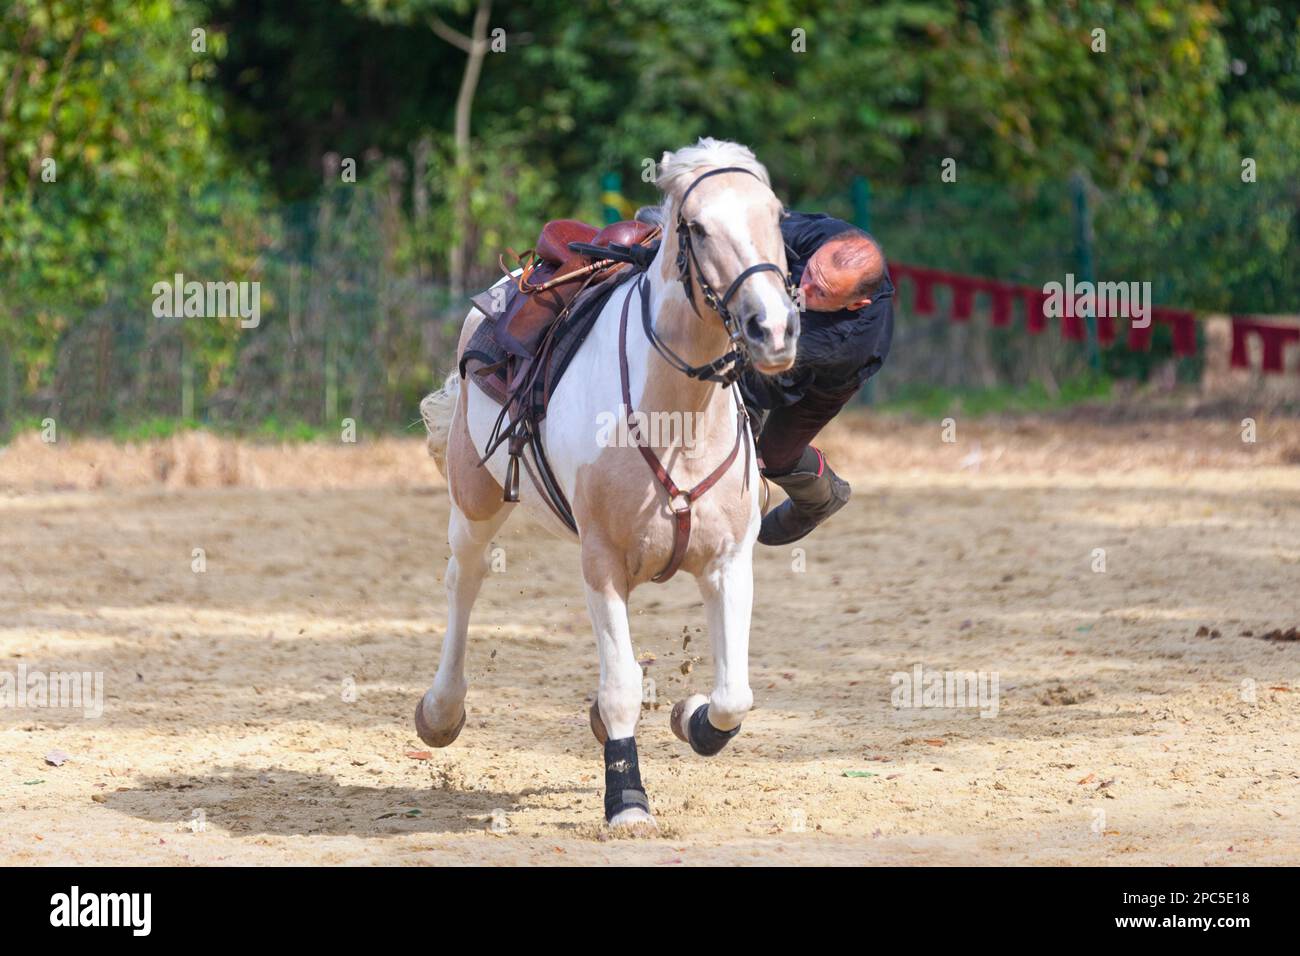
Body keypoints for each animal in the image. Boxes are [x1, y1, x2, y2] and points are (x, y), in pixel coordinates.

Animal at [421, 136, 795, 832]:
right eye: (696, 227)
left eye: (776, 216)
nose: (774, 327)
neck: (678, 416)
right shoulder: (601, 563)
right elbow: (621, 687)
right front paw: (626, 798)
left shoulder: (730, 563)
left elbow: (733, 695)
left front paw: (692, 718)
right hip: (475, 501)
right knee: (466, 578)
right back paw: (440, 710)